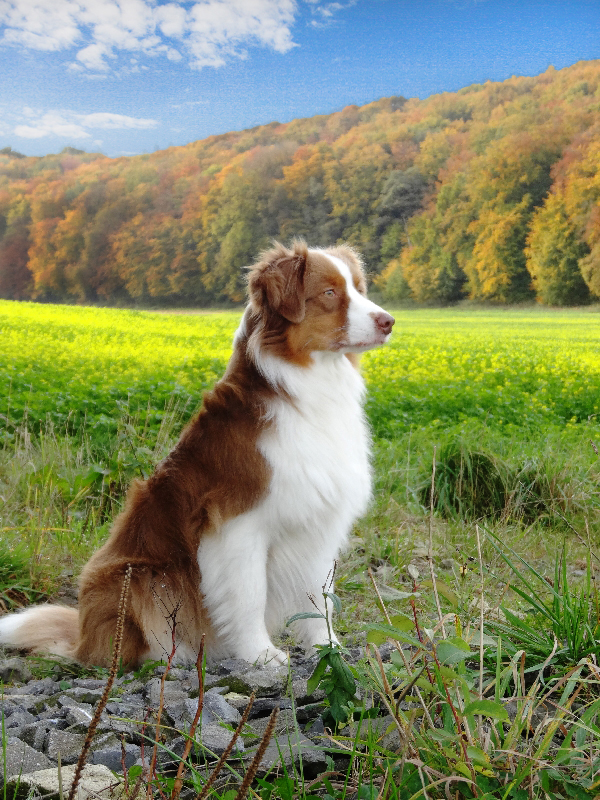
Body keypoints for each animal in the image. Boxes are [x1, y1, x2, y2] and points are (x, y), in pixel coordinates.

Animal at [0, 244, 394, 668]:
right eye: (329, 293)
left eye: (358, 289)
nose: (389, 321)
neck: (308, 387)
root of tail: (81, 637)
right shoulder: (238, 523)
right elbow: (249, 594)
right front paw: (261, 655)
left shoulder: (318, 521)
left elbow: (320, 598)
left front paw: (330, 649)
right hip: (138, 576)